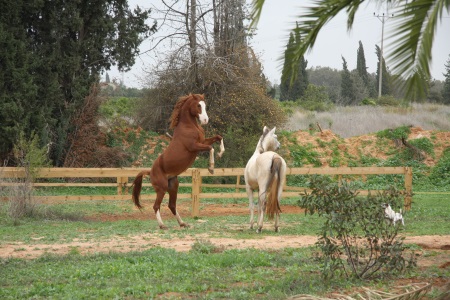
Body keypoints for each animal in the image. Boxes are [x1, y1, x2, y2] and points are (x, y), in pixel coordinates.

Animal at [131, 94, 222, 230]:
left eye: (205, 105)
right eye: (198, 105)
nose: (205, 120)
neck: (189, 126)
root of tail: (150, 172)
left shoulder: (203, 141)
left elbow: (218, 138)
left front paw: (221, 153)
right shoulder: (194, 146)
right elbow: (211, 148)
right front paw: (211, 168)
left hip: (173, 186)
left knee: (171, 205)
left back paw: (183, 223)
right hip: (161, 189)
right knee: (156, 206)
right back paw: (162, 225)